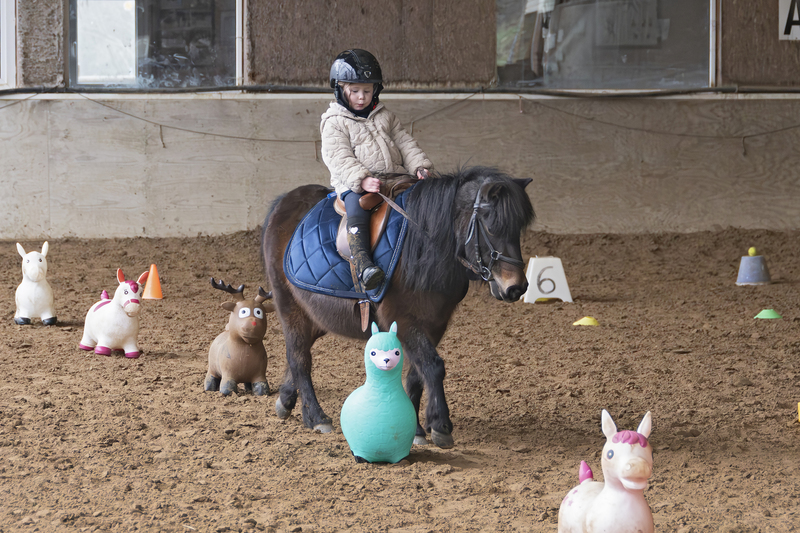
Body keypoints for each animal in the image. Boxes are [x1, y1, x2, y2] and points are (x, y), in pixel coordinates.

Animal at [260, 166, 535, 448]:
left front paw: (416, 429)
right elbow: (433, 366)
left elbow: (417, 373)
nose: (516, 287)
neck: (423, 245)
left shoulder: (435, 322)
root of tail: (284, 202)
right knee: (299, 357)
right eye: (491, 227)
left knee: (300, 351)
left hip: (316, 315)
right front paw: (441, 426)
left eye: (518, 228)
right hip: (289, 306)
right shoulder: (403, 319)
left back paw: (286, 400)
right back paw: (315, 417)